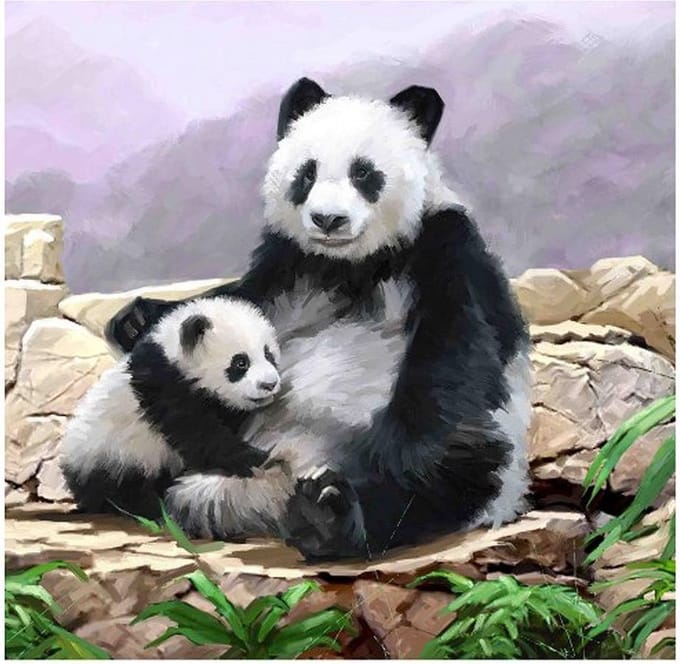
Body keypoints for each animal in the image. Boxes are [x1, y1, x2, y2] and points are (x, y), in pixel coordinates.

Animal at [60, 297, 282, 522]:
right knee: (118, 486)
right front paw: (253, 458)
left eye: (268, 354)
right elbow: (195, 431)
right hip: (111, 452)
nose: (270, 384)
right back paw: (145, 507)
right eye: (241, 362)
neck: (172, 352)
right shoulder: (162, 383)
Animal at [106, 78, 532, 561]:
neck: (351, 264)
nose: (328, 219)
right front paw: (138, 318)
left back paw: (328, 514)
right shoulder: (290, 264)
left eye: (363, 173)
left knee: (457, 469)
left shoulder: (445, 250)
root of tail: (259, 500)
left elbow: (450, 366)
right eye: (306, 173)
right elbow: (239, 301)